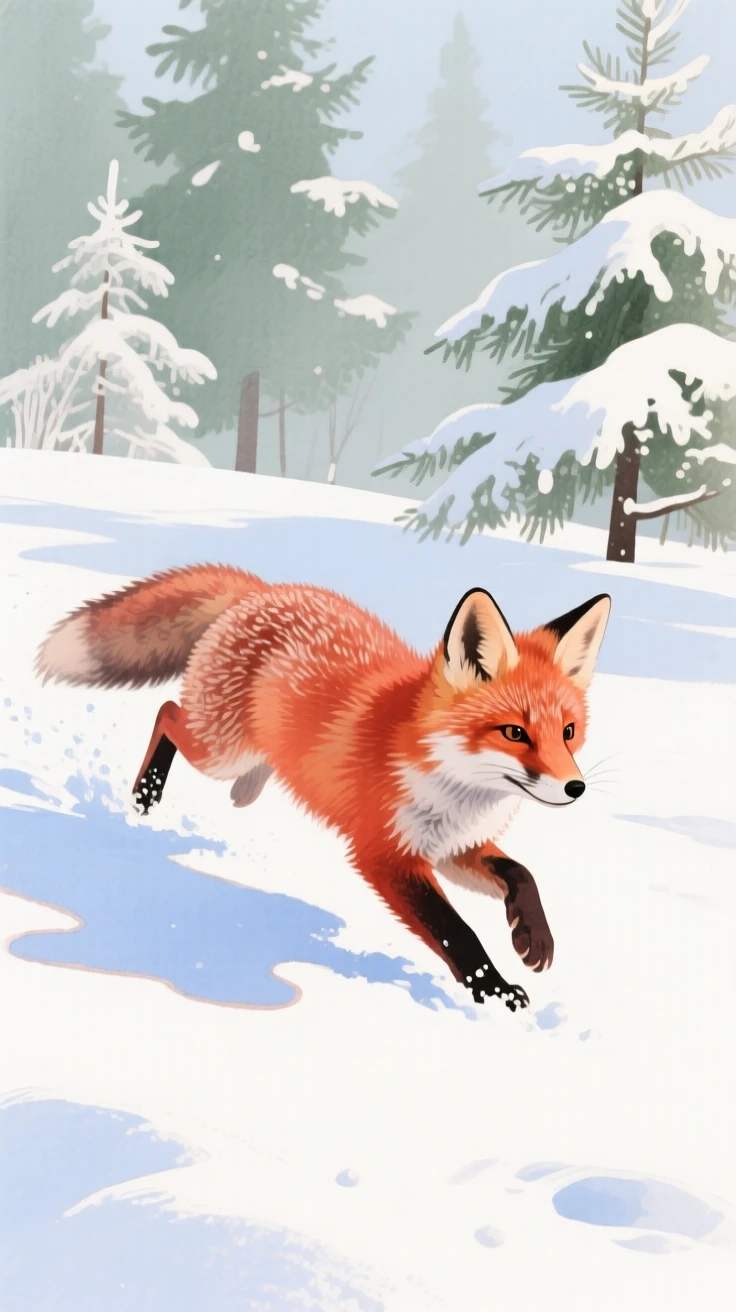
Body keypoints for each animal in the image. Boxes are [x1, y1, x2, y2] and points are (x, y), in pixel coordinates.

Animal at [37, 564, 611, 1012]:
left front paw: (533, 938)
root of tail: (264, 589)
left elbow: (521, 874)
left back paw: (245, 790)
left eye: (568, 732)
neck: (453, 782)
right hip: (219, 748)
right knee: (167, 714)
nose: (575, 787)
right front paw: (493, 993)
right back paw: (145, 798)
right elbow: (457, 930)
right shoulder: (385, 854)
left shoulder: (453, 847)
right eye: (514, 733)